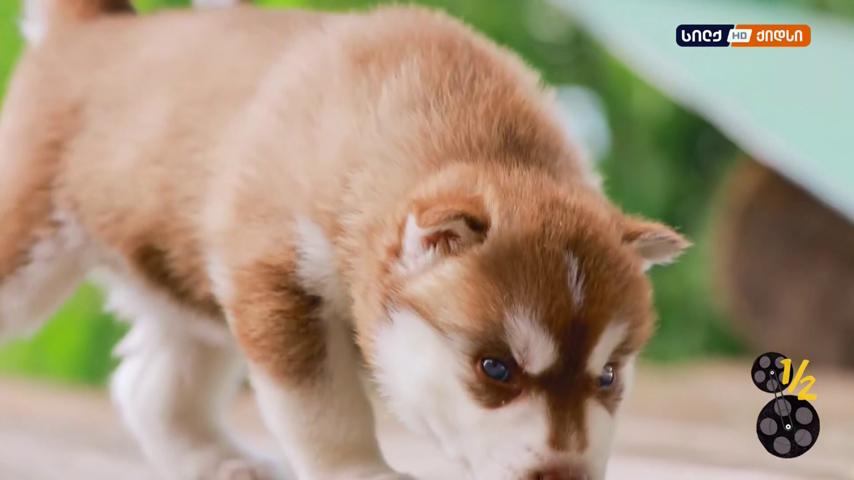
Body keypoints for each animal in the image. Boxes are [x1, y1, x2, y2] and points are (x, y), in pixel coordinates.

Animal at [0, 1, 689, 479]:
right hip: (31, 248)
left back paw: (218, 460)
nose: (562, 474)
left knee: (152, 387)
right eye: (496, 367)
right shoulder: (276, 280)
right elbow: (323, 407)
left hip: (191, 284)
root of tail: (95, 28)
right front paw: (360, 469)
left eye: (608, 377)